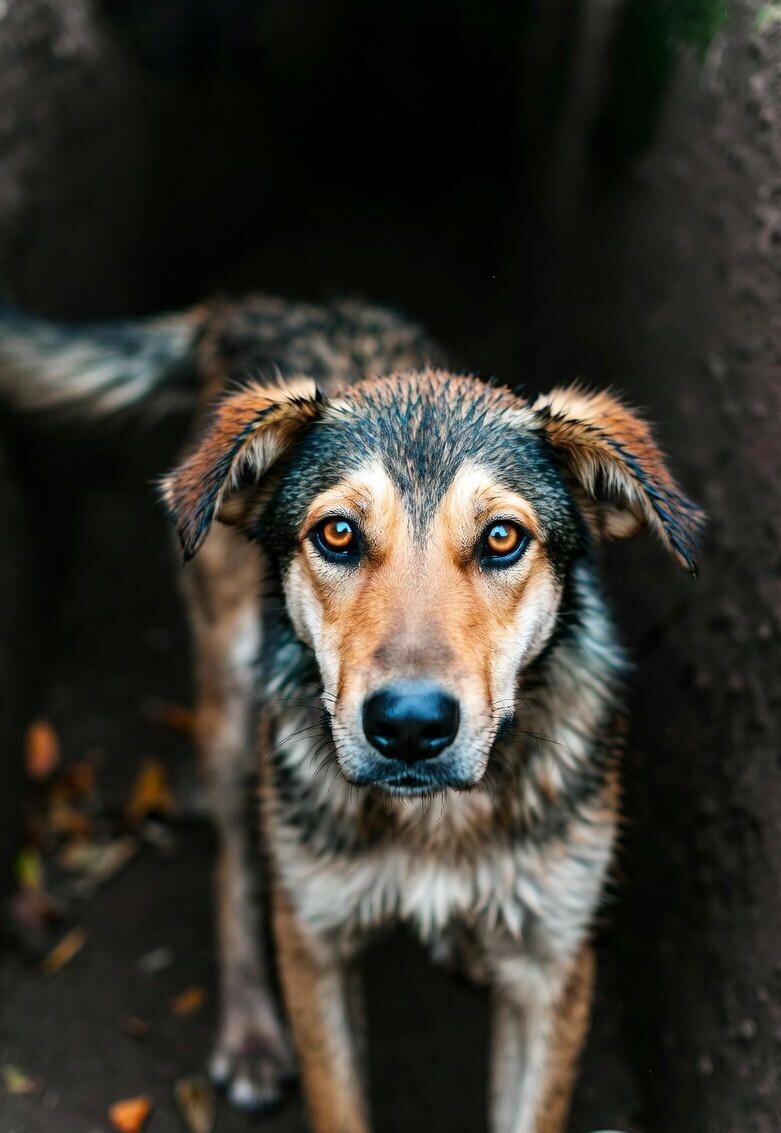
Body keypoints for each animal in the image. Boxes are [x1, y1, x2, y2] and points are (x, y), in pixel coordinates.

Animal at [0, 294, 703, 1133]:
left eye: (502, 538)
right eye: (337, 533)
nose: (409, 725)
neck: (435, 824)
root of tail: (265, 306)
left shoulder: (552, 966)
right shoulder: (318, 942)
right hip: (234, 716)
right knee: (237, 865)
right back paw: (249, 1031)